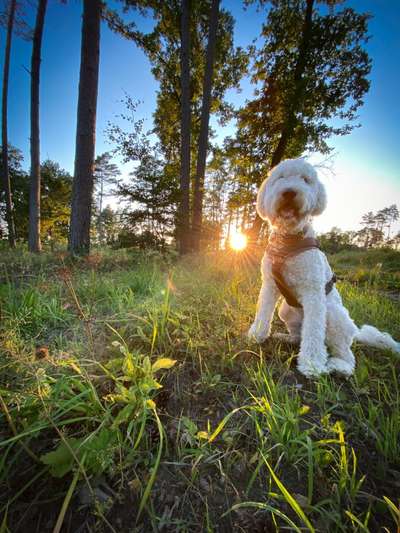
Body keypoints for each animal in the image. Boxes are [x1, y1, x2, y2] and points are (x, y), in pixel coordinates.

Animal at [248, 156, 398, 376]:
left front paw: (312, 365)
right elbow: (263, 312)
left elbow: (313, 333)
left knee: (346, 354)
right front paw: (256, 335)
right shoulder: (269, 285)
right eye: (280, 178)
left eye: (305, 180)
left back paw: (340, 366)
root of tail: (356, 331)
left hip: (335, 315)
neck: (288, 241)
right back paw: (287, 338)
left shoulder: (313, 293)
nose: (289, 192)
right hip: (286, 311)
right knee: (299, 335)